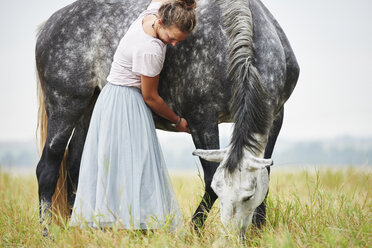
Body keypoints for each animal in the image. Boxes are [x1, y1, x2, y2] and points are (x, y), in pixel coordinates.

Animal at [35, 0, 300, 234]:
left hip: (88, 108)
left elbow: (266, 177)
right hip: (65, 106)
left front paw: (259, 231)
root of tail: (51, 24)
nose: (232, 236)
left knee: (75, 166)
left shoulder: (274, 117)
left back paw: (80, 229)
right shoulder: (201, 119)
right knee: (47, 168)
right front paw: (194, 230)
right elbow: (209, 179)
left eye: (248, 195)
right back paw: (47, 232)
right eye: (221, 190)